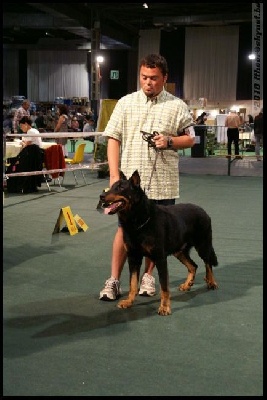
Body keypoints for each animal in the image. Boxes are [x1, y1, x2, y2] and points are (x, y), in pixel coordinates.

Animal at [99, 170, 220, 316]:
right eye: (112, 186)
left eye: (121, 188)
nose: (101, 196)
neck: (138, 222)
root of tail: (203, 211)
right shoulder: (133, 258)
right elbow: (132, 283)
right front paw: (129, 301)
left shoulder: (160, 258)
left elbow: (164, 286)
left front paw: (165, 307)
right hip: (179, 251)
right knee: (193, 266)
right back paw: (187, 284)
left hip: (203, 245)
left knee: (208, 263)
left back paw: (211, 282)